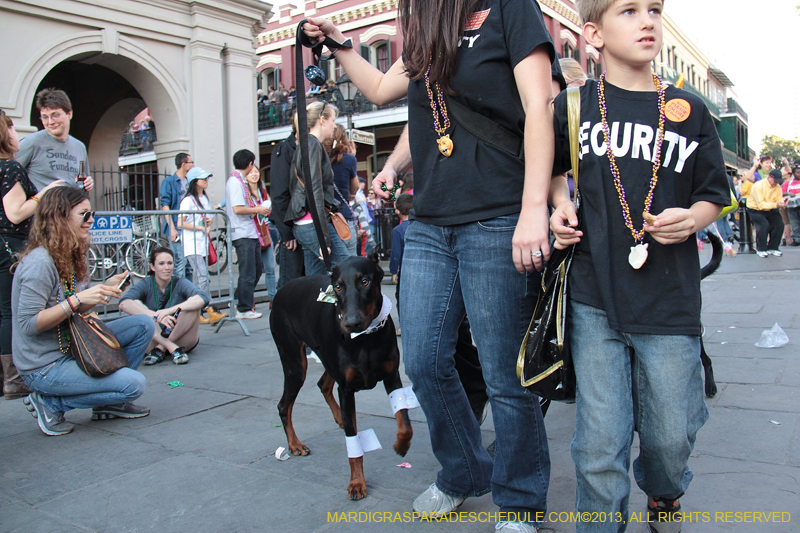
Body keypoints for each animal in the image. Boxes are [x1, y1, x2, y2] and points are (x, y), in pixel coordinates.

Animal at [272, 254, 416, 498]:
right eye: (338, 286)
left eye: (365, 281)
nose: (350, 323)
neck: (365, 338)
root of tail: (281, 290)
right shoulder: (347, 390)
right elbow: (353, 443)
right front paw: (357, 482)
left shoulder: (392, 376)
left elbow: (404, 421)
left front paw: (401, 444)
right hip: (295, 363)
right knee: (284, 405)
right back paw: (295, 444)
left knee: (322, 384)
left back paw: (339, 417)